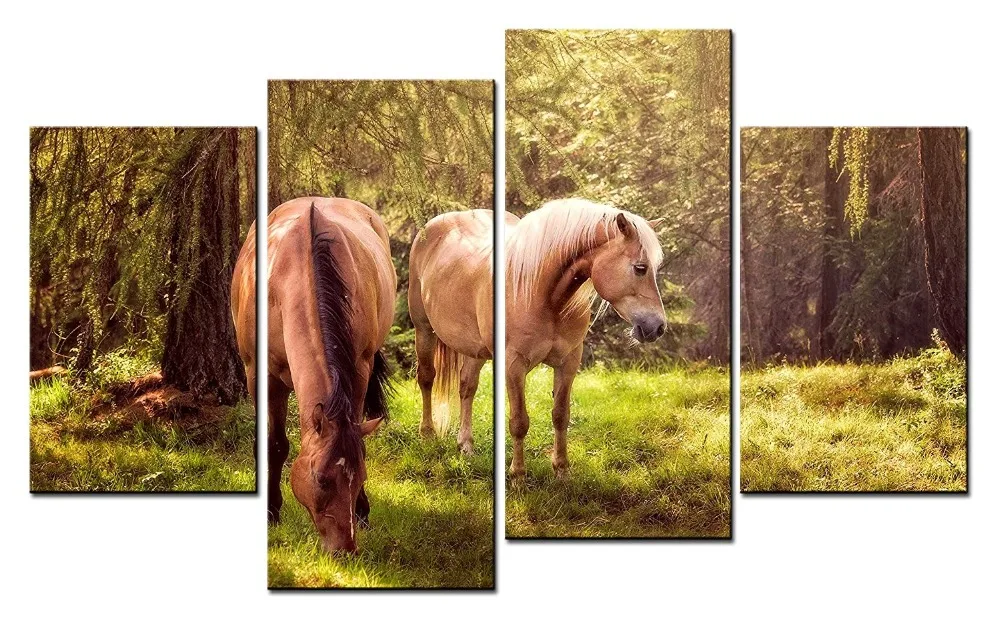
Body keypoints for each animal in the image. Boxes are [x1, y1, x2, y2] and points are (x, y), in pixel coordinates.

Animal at [231, 197, 396, 554]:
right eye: (321, 479)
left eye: (360, 477)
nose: (346, 548)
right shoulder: (259, 376)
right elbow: (274, 444)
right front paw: (271, 512)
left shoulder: (359, 370)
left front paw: (363, 511)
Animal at [408, 209, 498, 454]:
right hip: (424, 329)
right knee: (426, 376)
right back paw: (428, 432)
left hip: (473, 348)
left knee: (467, 385)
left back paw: (465, 442)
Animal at [505, 198, 666, 479]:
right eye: (640, 268)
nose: (659, 327)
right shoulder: (513, 366)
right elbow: (519, 421)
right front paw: (518, 476)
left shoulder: (569, 362)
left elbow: (560, 415)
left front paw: (561, 469)